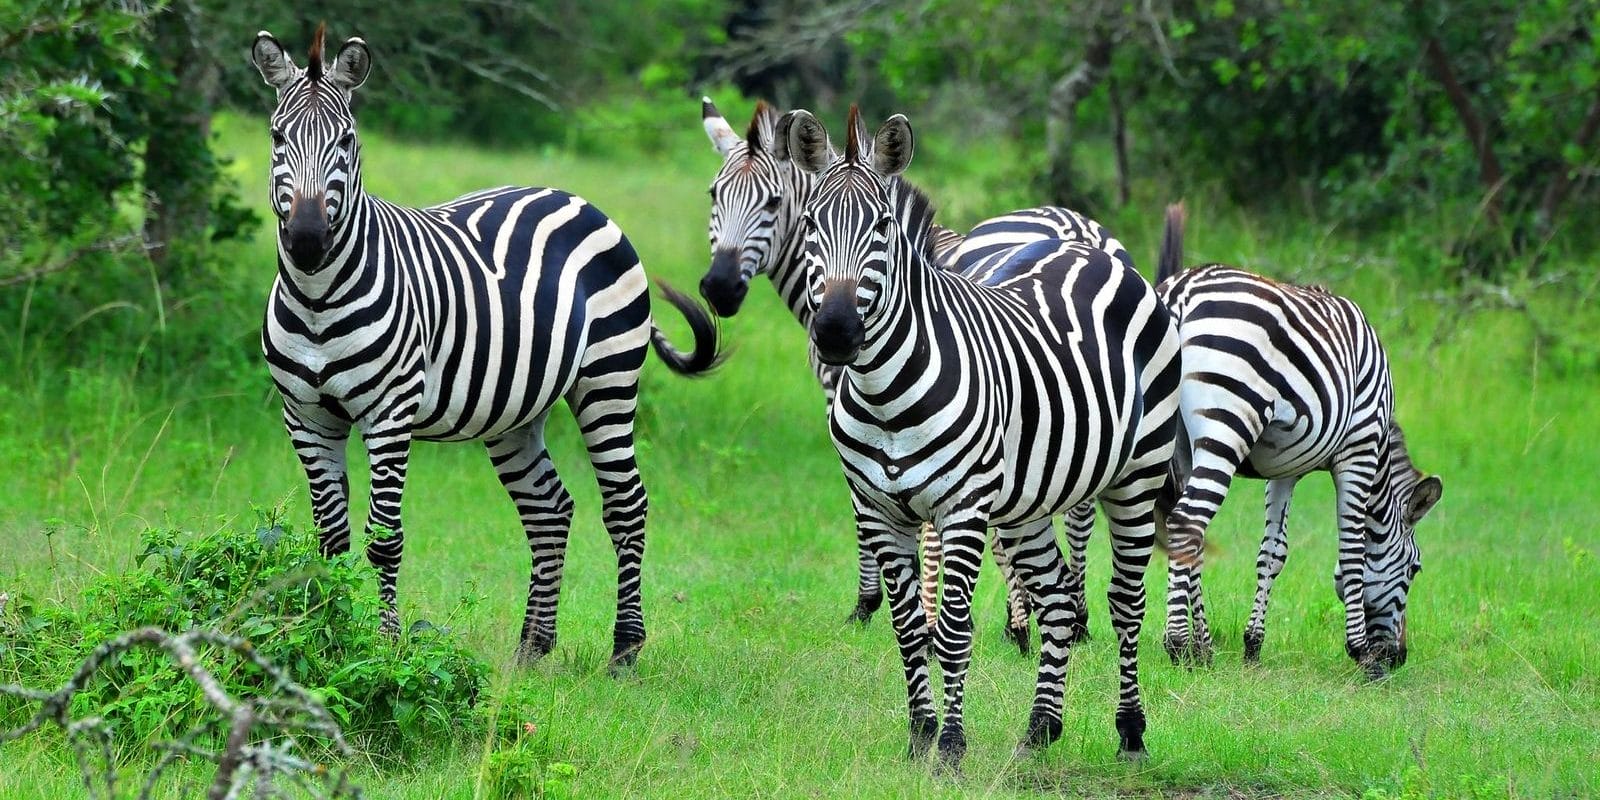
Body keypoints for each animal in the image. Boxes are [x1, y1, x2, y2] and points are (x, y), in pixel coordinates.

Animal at [249, 27, 722, 667]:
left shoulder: (389, 414)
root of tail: (576, 198)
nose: (305, 239)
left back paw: (625, 649)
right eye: (277, 136)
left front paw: (385, 648)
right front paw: (327, 637)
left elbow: (384, 539)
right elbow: (330, 541)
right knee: (550, 509)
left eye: (347, 140)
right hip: (517, 411)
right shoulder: (304, 417)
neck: (317, 297)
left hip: (608, 380)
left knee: (626, 506)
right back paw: (533, 647)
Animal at [787, 106, 1180, 766]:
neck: (884, 395)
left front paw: (950, 745)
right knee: (1055, 599)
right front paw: (920, 736)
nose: (837, 333)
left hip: (1136, 477)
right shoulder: (878, 509)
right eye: (812, 225)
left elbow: (950, 630)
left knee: (1126, 604)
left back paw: (1130, 732)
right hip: (1028, 503)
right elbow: (907, 627)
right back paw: (1041, 728)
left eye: (883, 228)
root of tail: (1092, 249)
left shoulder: (963, 508)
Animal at [1154, 205, 1442, 674]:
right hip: (1228, 422)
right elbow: (1352, 549)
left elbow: (1273, 552)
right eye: (1415, 570)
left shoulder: (1284, 469)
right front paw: (1360, 652)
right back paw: (1180, 644)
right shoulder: (1359, 449)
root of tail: (1181, 291)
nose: (1398, 657)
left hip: (1175, 441)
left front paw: (1253, 645)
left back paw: (1203, 646)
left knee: (1184, 528)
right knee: (1186, 521)